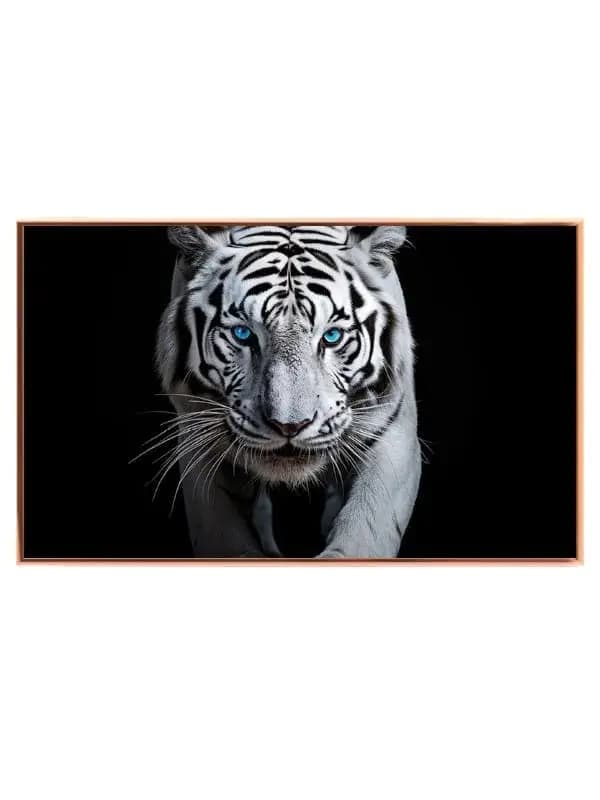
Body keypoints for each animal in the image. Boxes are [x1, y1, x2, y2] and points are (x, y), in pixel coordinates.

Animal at [154, 224, 421, 558]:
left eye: (332, 337)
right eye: (243, 334)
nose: (290, 426)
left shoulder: (392, 433)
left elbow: (366, 528)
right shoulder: (200, 439)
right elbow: (228, 537)